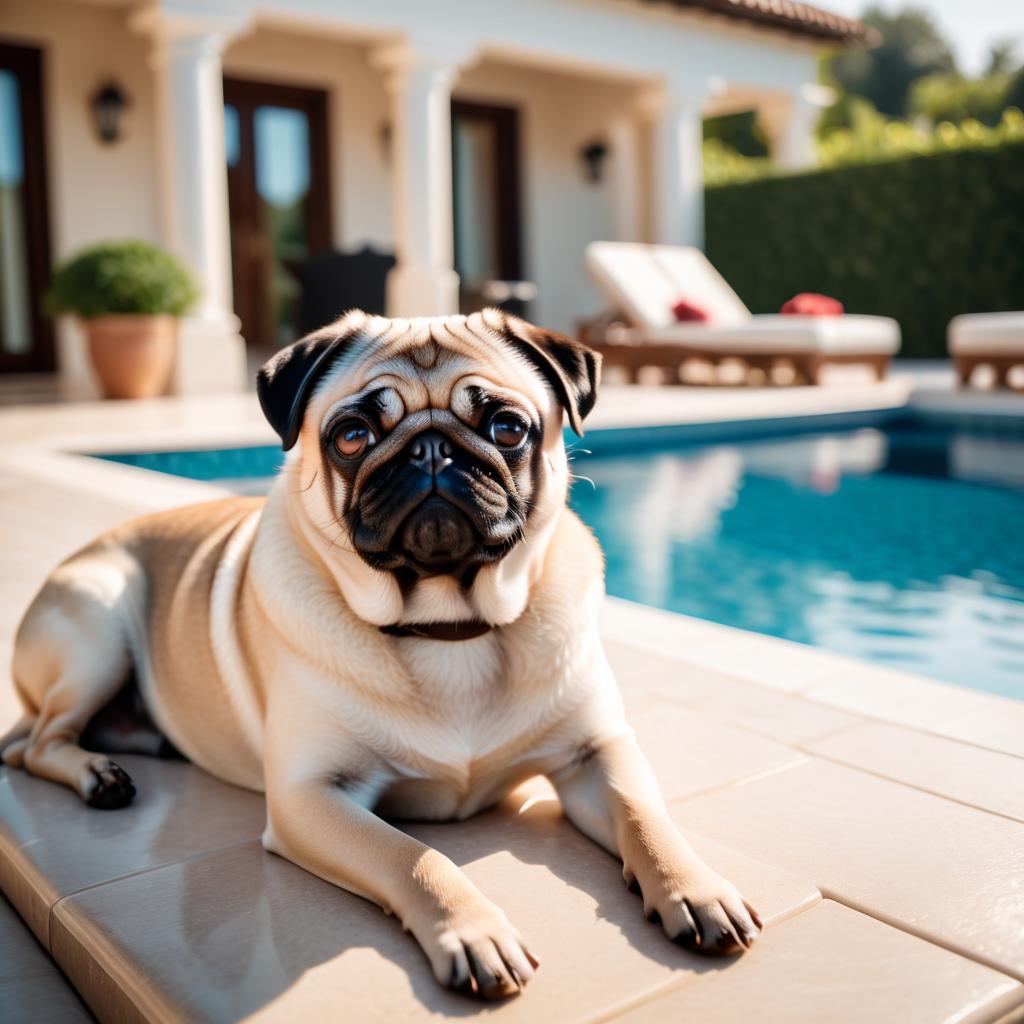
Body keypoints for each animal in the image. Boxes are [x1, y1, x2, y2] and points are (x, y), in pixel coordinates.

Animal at [4, 307, 761, 995]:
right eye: (352, 435)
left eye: (508, 428)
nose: (430, 451)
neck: (449, 627)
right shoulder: (311, 796)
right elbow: (415, 857)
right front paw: (473, 932)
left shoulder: (594, 753)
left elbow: (644, 816)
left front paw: (694, 887)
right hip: (98, 625)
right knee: (36, 743)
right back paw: (98, 775)